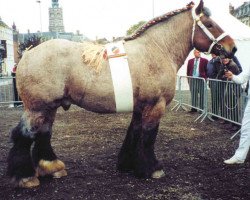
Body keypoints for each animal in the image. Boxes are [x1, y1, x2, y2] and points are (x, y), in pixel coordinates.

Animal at [7, 0, 236, 188]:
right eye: (209, 24)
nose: (232, 48)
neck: (156, 49)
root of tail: (28, 53)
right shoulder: (155, 105)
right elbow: (148, 136)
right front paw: (153, 169)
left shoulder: (141, 107)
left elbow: (134, 133)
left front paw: (129, 165)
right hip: (37, 108)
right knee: (23, 135)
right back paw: (26, 177)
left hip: (49, 107)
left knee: (43, 134)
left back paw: (52, 168)